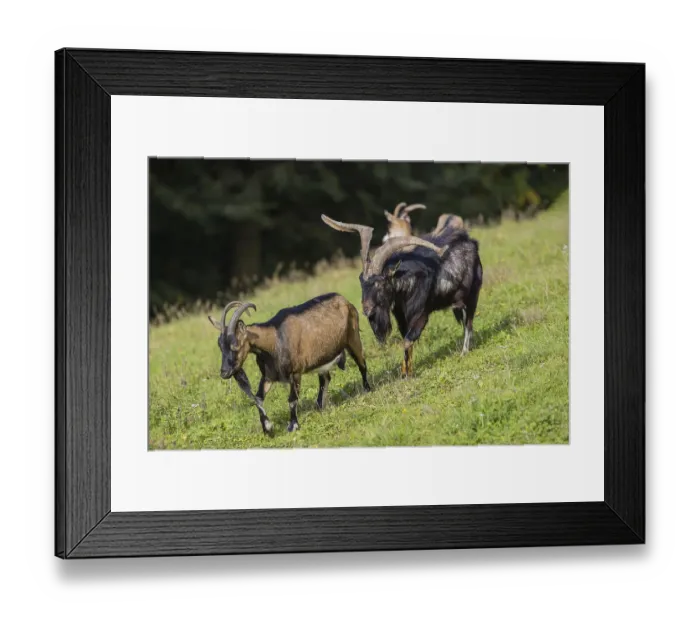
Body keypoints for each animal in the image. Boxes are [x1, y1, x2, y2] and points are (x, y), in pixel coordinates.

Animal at [208, 294, 371, 435]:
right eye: (220, 345)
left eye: (235, 345)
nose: (224, 372)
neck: (275, 340)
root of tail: (344, 300)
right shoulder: (268, 376)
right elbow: (258, 398)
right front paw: (268, 428)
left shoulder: (295, 372)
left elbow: (292, 400)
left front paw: (293, 426)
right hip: (322, 357)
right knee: (325, 378)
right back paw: (319, 406)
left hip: (353, 337)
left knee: (362, 363)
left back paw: (367, 389)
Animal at [322, 215, 483, 377]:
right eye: (361, 281)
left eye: (380, 283)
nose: (367, 310)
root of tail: (471, 242)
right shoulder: (401, 317)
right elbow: (406, 341)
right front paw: (406, 372)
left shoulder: (421, 314)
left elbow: (407, 341)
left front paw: (406, 373)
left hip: (472, 295)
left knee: (468, 323)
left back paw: (464, 352)